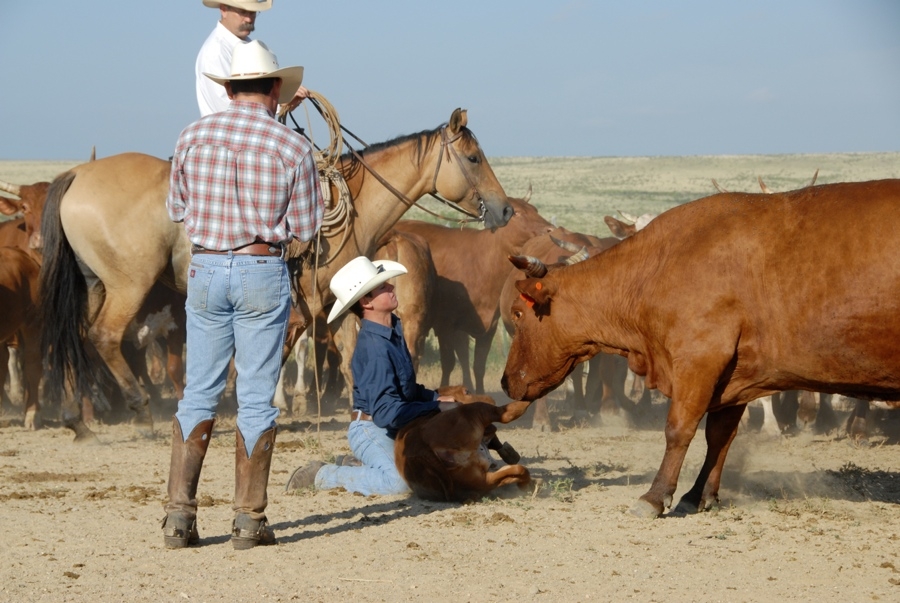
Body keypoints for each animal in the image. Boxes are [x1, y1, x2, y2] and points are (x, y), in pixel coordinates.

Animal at [40, 108, 512, 442]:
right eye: (473, 157)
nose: (504, 209)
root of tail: (77, 173)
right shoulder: (304, 307)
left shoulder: (332, 306)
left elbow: (348, 359)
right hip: (128, 284)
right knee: (103, 335)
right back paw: (138, 409)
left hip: (94, 284)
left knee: (76, 337)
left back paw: (77, 419)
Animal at [396, 386, 536, 504]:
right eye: (467, 391)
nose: (490, 398)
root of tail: (421, 444)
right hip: (477, 410)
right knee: (506, 413)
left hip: (481, 481)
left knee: (515, 471)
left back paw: (527, 485)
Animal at [502, 179, 900, 520]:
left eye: (519, 312)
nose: (506, 382)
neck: (656, 265)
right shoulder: (735, 377)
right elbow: (719, 436)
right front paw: (698, 495)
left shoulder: (700, 360)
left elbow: (679, 428)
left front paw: (655, 496)